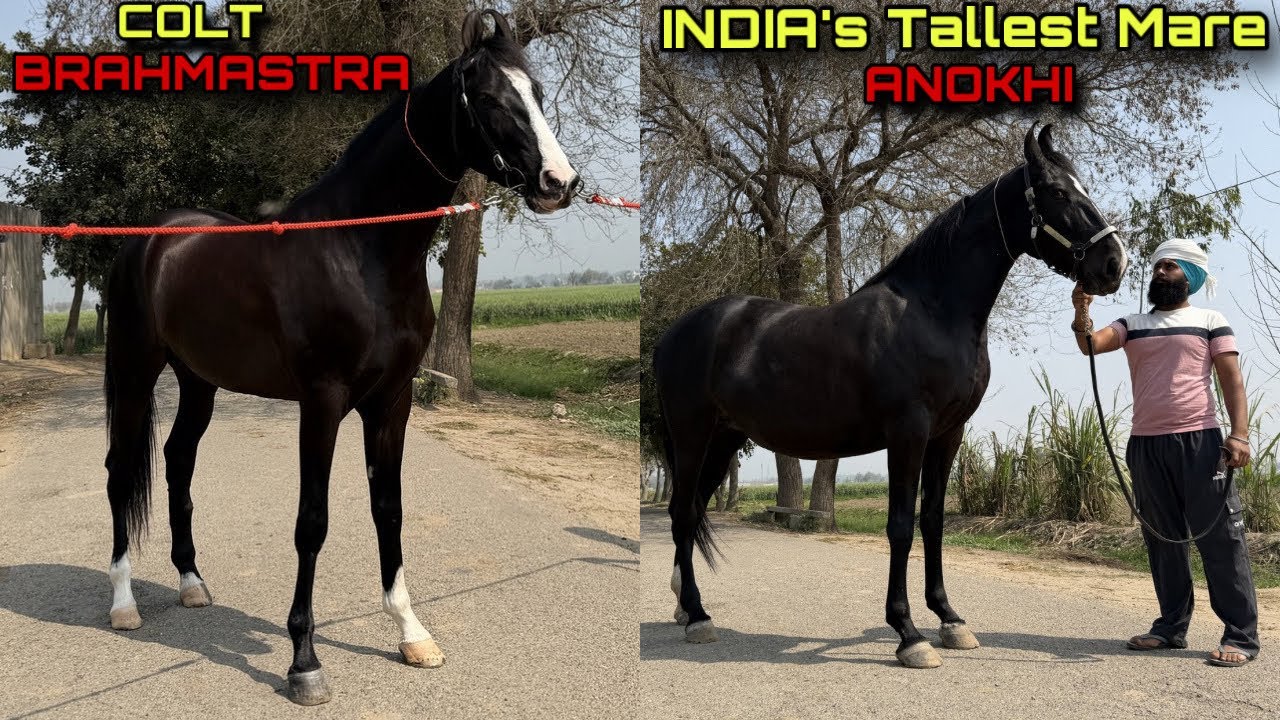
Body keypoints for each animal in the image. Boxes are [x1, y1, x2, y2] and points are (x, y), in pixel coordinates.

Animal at [101, 10, 579, 705]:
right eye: (491, 98)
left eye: (538, 93)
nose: (559, 183)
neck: (360, 251)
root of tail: (151, 239)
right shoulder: (322, 402)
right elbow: (313, 522)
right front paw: (304, 661)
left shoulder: (392, 402)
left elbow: (389, 510)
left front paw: (412, 634)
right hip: (137, 371)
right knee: (119, 471)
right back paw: (123, 602)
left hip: (199, 383)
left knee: (178, 460)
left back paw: (191, 584)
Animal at [652, 125, 1128, 669]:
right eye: (1058, 193)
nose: (1113, 264)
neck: (933, 311)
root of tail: (674, 333)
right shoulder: (908, 432)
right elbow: (900, 526)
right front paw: (908, 633)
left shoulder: (948, 434)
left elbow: (933, 521)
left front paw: (950, 619)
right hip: (691, 435)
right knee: (682, 511)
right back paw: (697, 615)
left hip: (725, 439)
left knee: (692, 511)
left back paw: (684, 607)